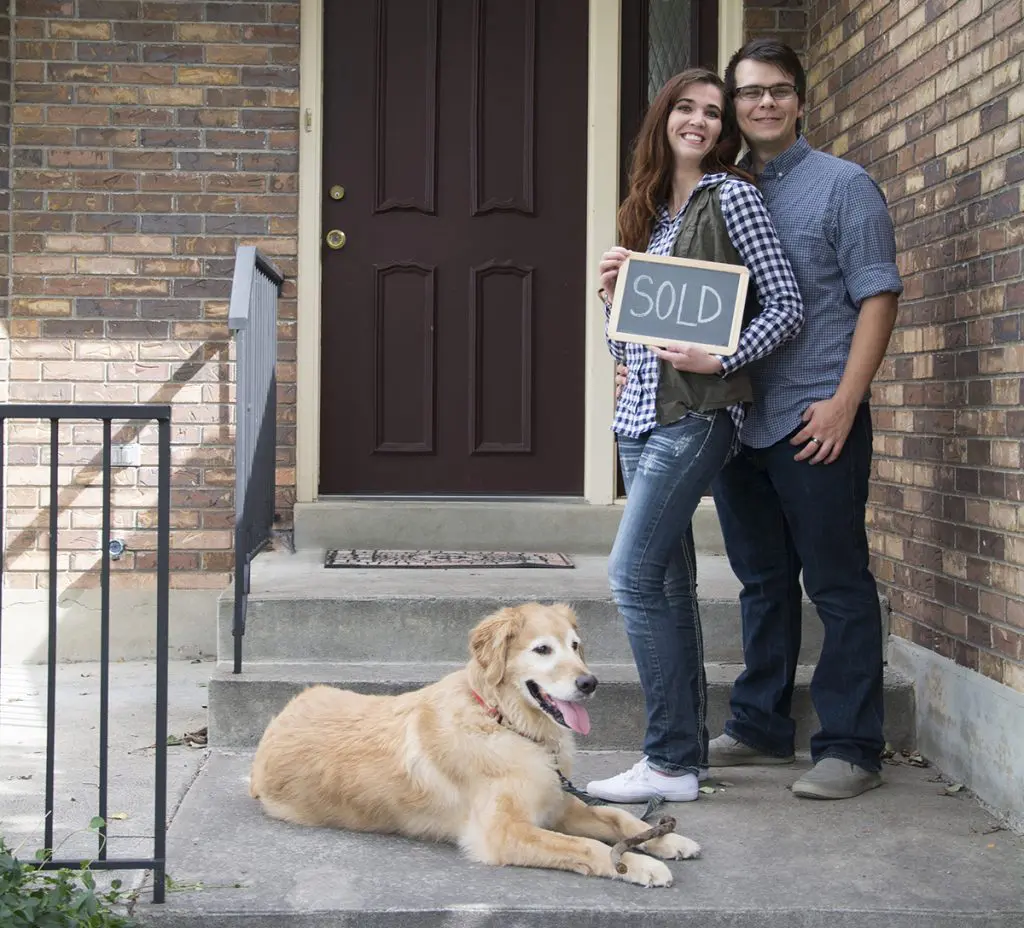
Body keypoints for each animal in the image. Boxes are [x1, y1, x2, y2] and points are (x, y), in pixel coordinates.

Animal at [249, 602, 700, 887]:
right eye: (542, 649)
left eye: (575, 646)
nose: (589, 683)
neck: (503, 721)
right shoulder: (503, 831)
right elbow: (588, 846)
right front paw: (639, 865)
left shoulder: (556, 803)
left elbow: (618, 818)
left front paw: (668, 840)